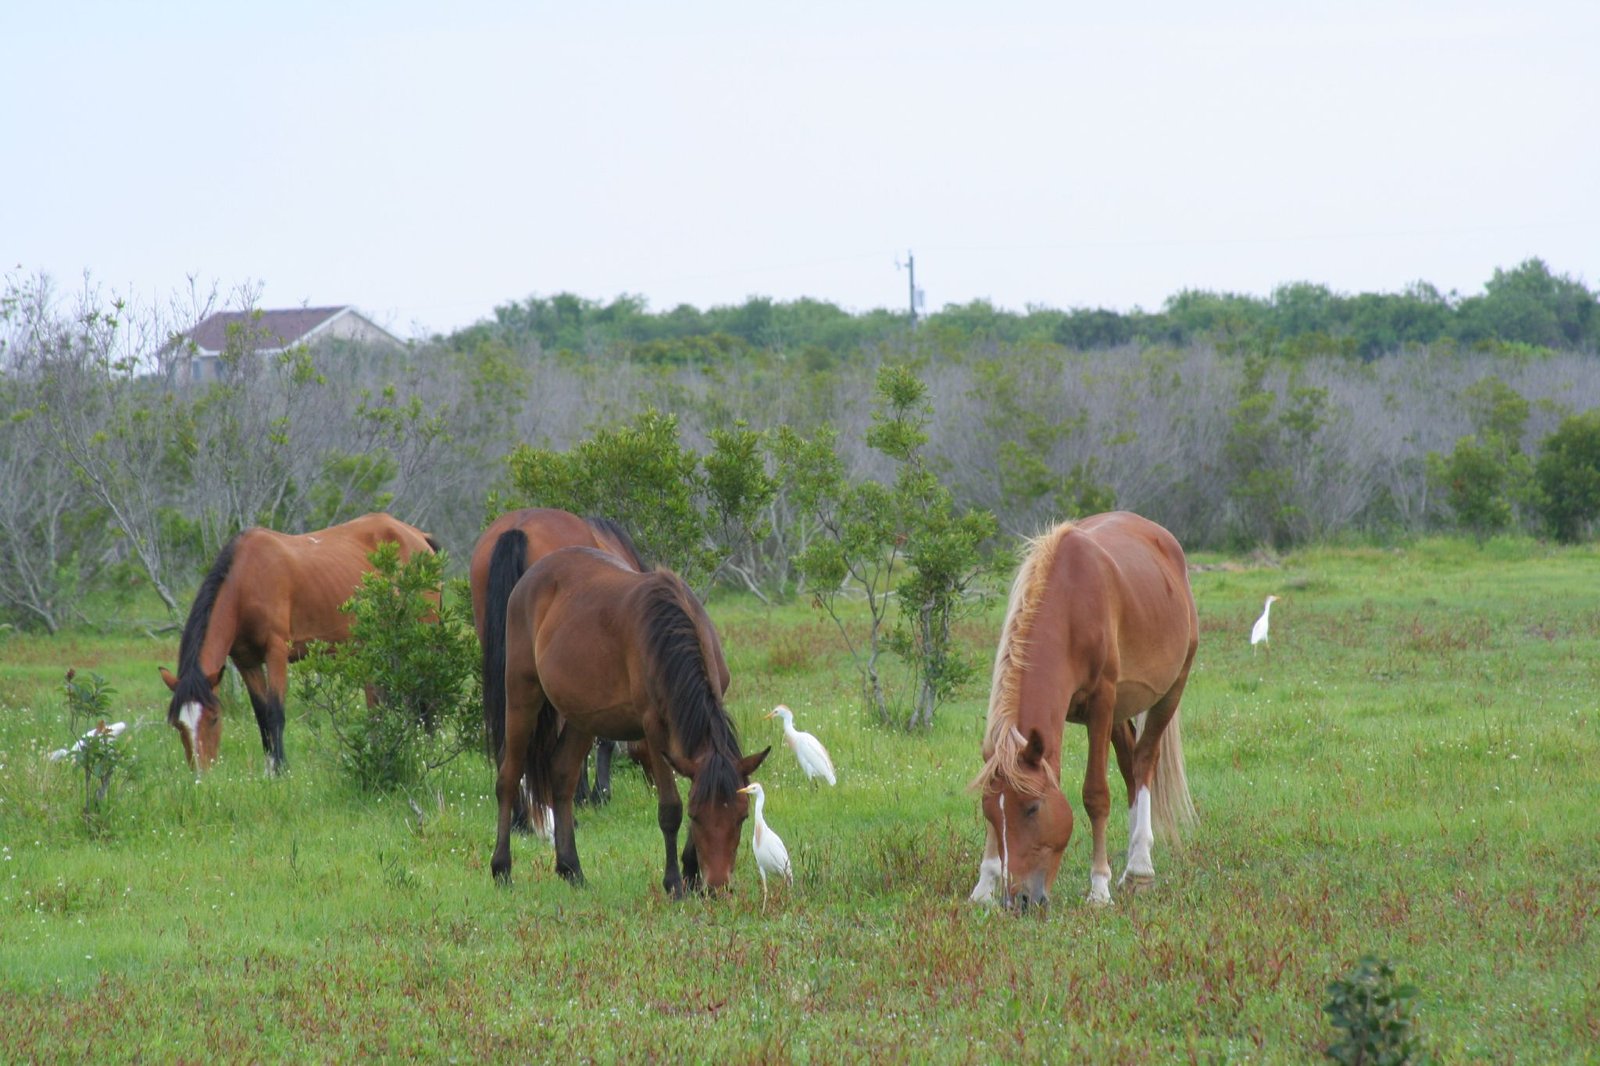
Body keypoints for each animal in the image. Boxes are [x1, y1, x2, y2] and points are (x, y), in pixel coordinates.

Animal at [160, 512, 440, 773]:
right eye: (178, 724)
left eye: (214, 718)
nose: (200, 774)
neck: (245, 581)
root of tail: (419, 537)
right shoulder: (246, 661)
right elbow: (261, 715)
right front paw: (269, 769)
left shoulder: (276, 651)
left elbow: (275, 712)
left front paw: (281, 770)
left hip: (420, 637)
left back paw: (428, 751)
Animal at [490, 546, 768, 897]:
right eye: (696, 816)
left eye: (742, 816)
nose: (716, 887)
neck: (671, 634)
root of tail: (531, 576)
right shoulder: (654, 731)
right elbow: (669, 809)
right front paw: (675, 883)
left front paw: (691, 873)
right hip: (522, 695)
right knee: (509, 777)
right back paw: (502, 868)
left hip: (582, 716)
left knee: (562, 775)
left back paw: (571, 868)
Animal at [970, 511, 1198, 910]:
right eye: (990, 813)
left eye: (1032, 808)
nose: (1021, 900)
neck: (1070, 603)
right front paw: (984, 888)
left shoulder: (1102, 703)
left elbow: (1095, 795)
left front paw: (1099, 889)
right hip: (1122, 710)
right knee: (1131, 767)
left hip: (1169, 692)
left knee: (1145, 762)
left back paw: (1139, 869)